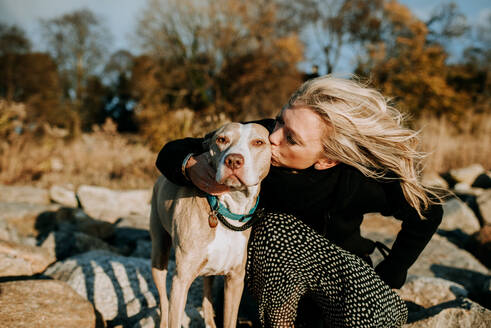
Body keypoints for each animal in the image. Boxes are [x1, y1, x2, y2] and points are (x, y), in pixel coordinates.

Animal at [151, 121, 272, 326]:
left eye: (258, 142)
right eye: (221, 139)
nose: (234, 160)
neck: (227, 208)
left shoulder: (235, 281)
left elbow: (229, 320)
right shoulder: (181, 280)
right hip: (159, 255)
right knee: (164, 302)